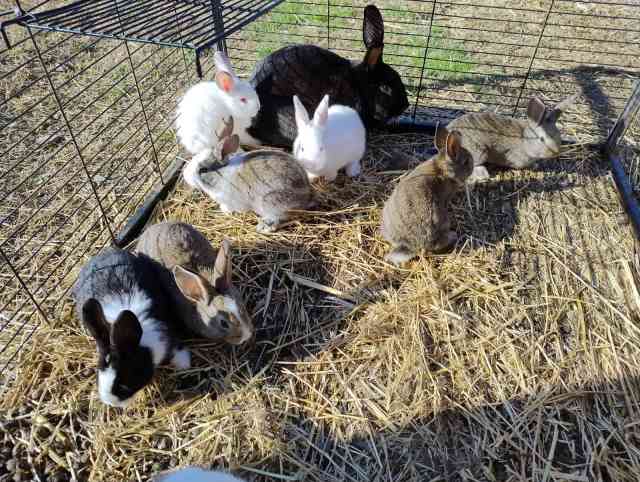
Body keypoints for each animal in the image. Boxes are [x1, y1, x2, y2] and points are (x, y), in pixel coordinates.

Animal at [72, 245, 190, 406]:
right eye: (98, 375)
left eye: (123, 384)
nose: (111, 403)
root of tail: (107, 251)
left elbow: (177, 349)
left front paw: (184, 366)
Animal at [185, 115, 316, 232]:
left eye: (203, 170)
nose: (185, 176)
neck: (220, 175)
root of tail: (307, 196)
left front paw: (225, 210)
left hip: (271, 203)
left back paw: (263, 227)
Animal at [448, 93, 576, 181]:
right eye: (541, 139)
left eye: (559, 135)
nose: (556, 152)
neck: (524, 141)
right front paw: (535, 165)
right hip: (479, 152)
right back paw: (483, 174)